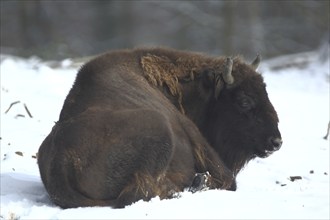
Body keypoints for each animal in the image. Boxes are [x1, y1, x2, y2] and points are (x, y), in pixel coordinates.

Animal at [38, 46, 282, 208]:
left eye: (266, 93)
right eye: (244, 101)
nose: (276, 141)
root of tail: (61, 159)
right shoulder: (199, 142)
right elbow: (229, 180)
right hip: (160, 129)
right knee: (138, 193)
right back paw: (191, 186)